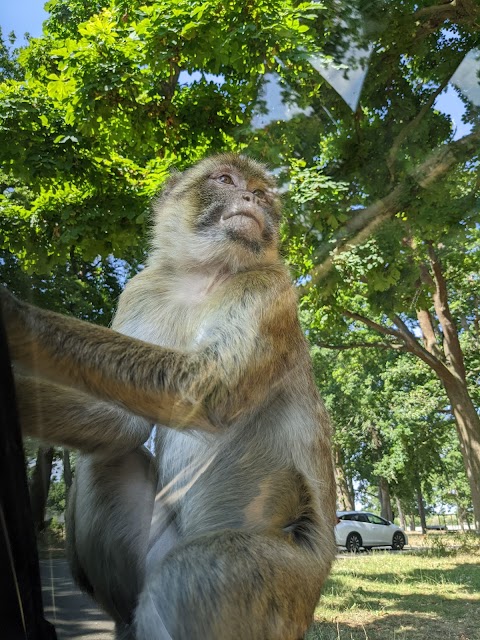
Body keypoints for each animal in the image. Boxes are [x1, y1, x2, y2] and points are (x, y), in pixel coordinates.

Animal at [1, 155, 336, 640]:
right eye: (226, 180)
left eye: (263, 193)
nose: (252, 198)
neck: (207, 275)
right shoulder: (143, 289)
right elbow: (124, 422)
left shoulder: (269, 285)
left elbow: (204, 386)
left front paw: (14, 319)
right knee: (107, 460)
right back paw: (124, 620)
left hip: (282, 584)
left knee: (193, 568)